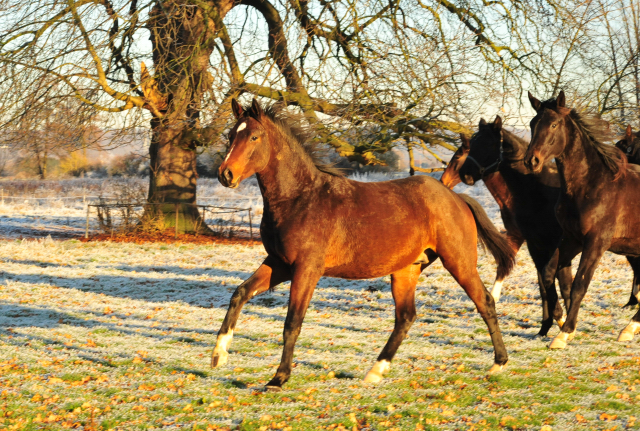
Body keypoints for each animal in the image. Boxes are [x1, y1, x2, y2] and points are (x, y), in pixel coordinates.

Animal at [458, 116, 572, 336]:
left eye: (488, 144)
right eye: (472, 143)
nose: (464, 174)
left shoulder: (554, 244)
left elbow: (554, 280)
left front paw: (562, 321)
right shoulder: (530, 241)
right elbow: (542, 283)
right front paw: (545, 328)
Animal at [524, 92, 640, 352]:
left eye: (554, 125)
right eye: (532, 124)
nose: (531, 161)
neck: (591, 186)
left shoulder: (596, 243)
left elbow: (579, 285)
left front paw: (563, 334)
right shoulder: (572, 239)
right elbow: (549, 273)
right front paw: (560, 320)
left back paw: (628, 328)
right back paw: (629, 329)